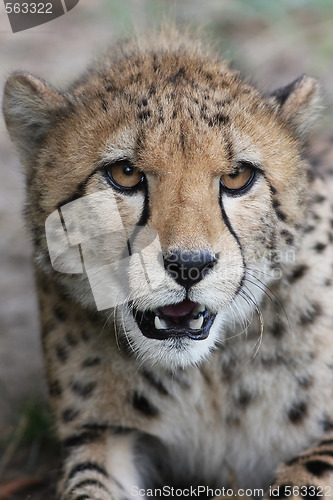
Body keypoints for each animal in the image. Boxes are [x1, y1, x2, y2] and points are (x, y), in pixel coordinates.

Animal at [2, 33, 332, 500]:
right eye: (124, 173)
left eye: (237, 176)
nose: (189, 265)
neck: (209, 372)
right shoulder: (107, 434)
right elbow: (87, 486)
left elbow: (308, 473)